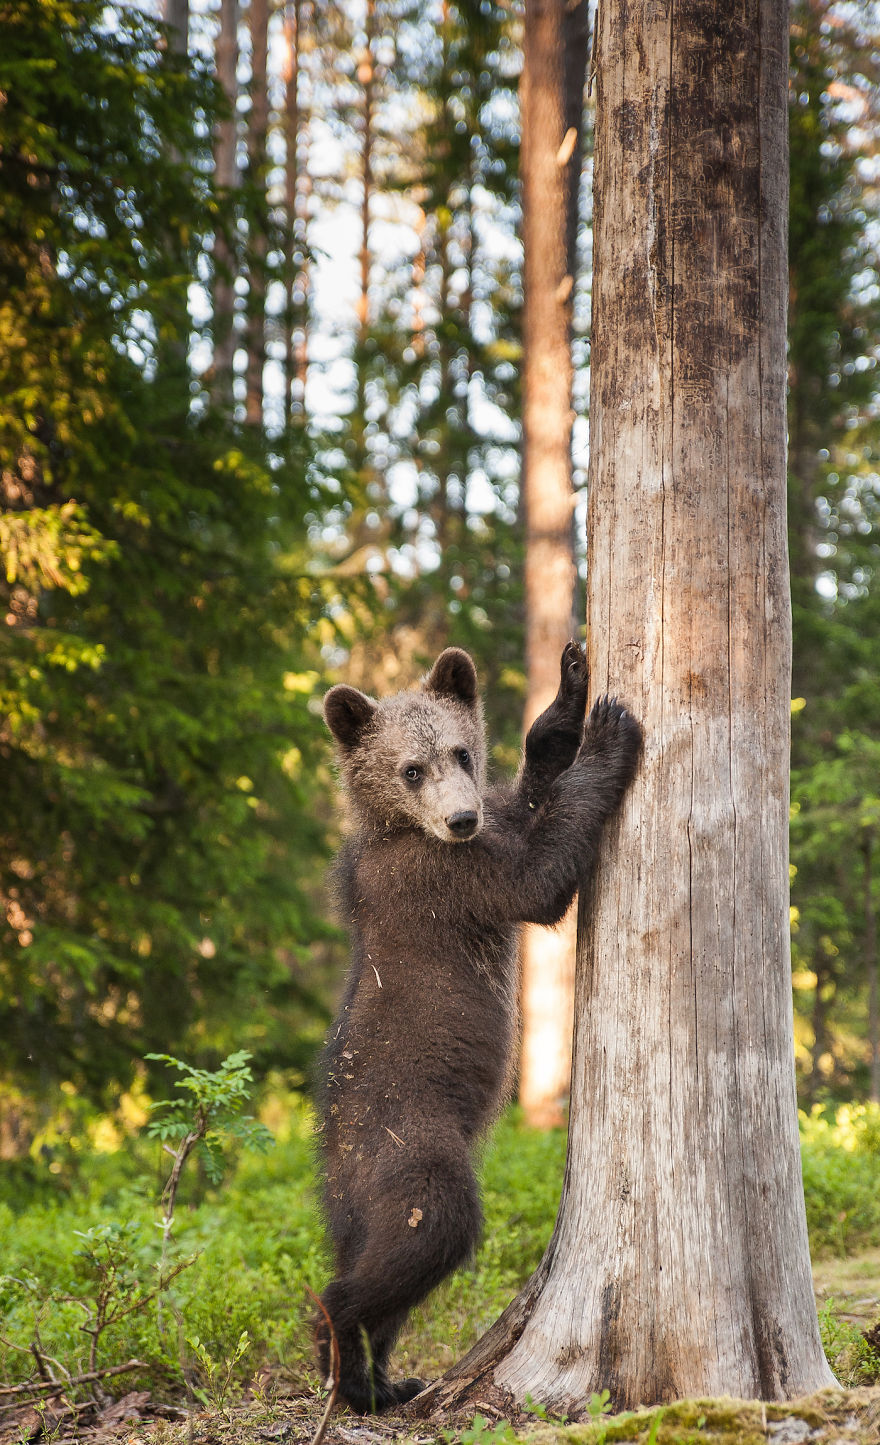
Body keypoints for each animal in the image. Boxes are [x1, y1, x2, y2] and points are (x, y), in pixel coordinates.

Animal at [316, 642, 641, 1414]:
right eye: (411, 767)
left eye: (460, 751)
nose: (461, 818)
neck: (402, 827)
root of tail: (336, 1161)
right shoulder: (439, 879)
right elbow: (538, 878)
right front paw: (609, 734)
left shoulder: (480, 833)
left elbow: (529, 801)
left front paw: (568, 698)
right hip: (409, 1144)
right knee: (427, 1232)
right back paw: (350, 1368)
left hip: (353, 1202)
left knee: (380, 1268)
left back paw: (386, 1377)